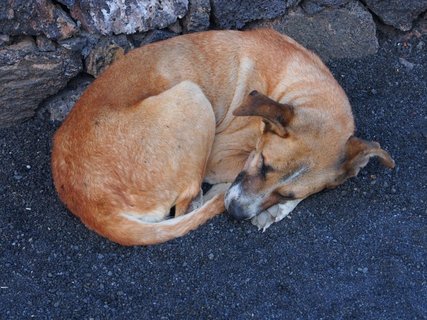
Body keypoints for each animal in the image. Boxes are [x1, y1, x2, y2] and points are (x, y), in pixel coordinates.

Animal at [50, 29, 394, 245]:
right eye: (263, 163)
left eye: (287, 193)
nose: (236, 213)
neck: (302, 88)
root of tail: (89, 206)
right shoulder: (220, 158)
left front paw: (275, 209)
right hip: (192, 95)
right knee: (187, 202)